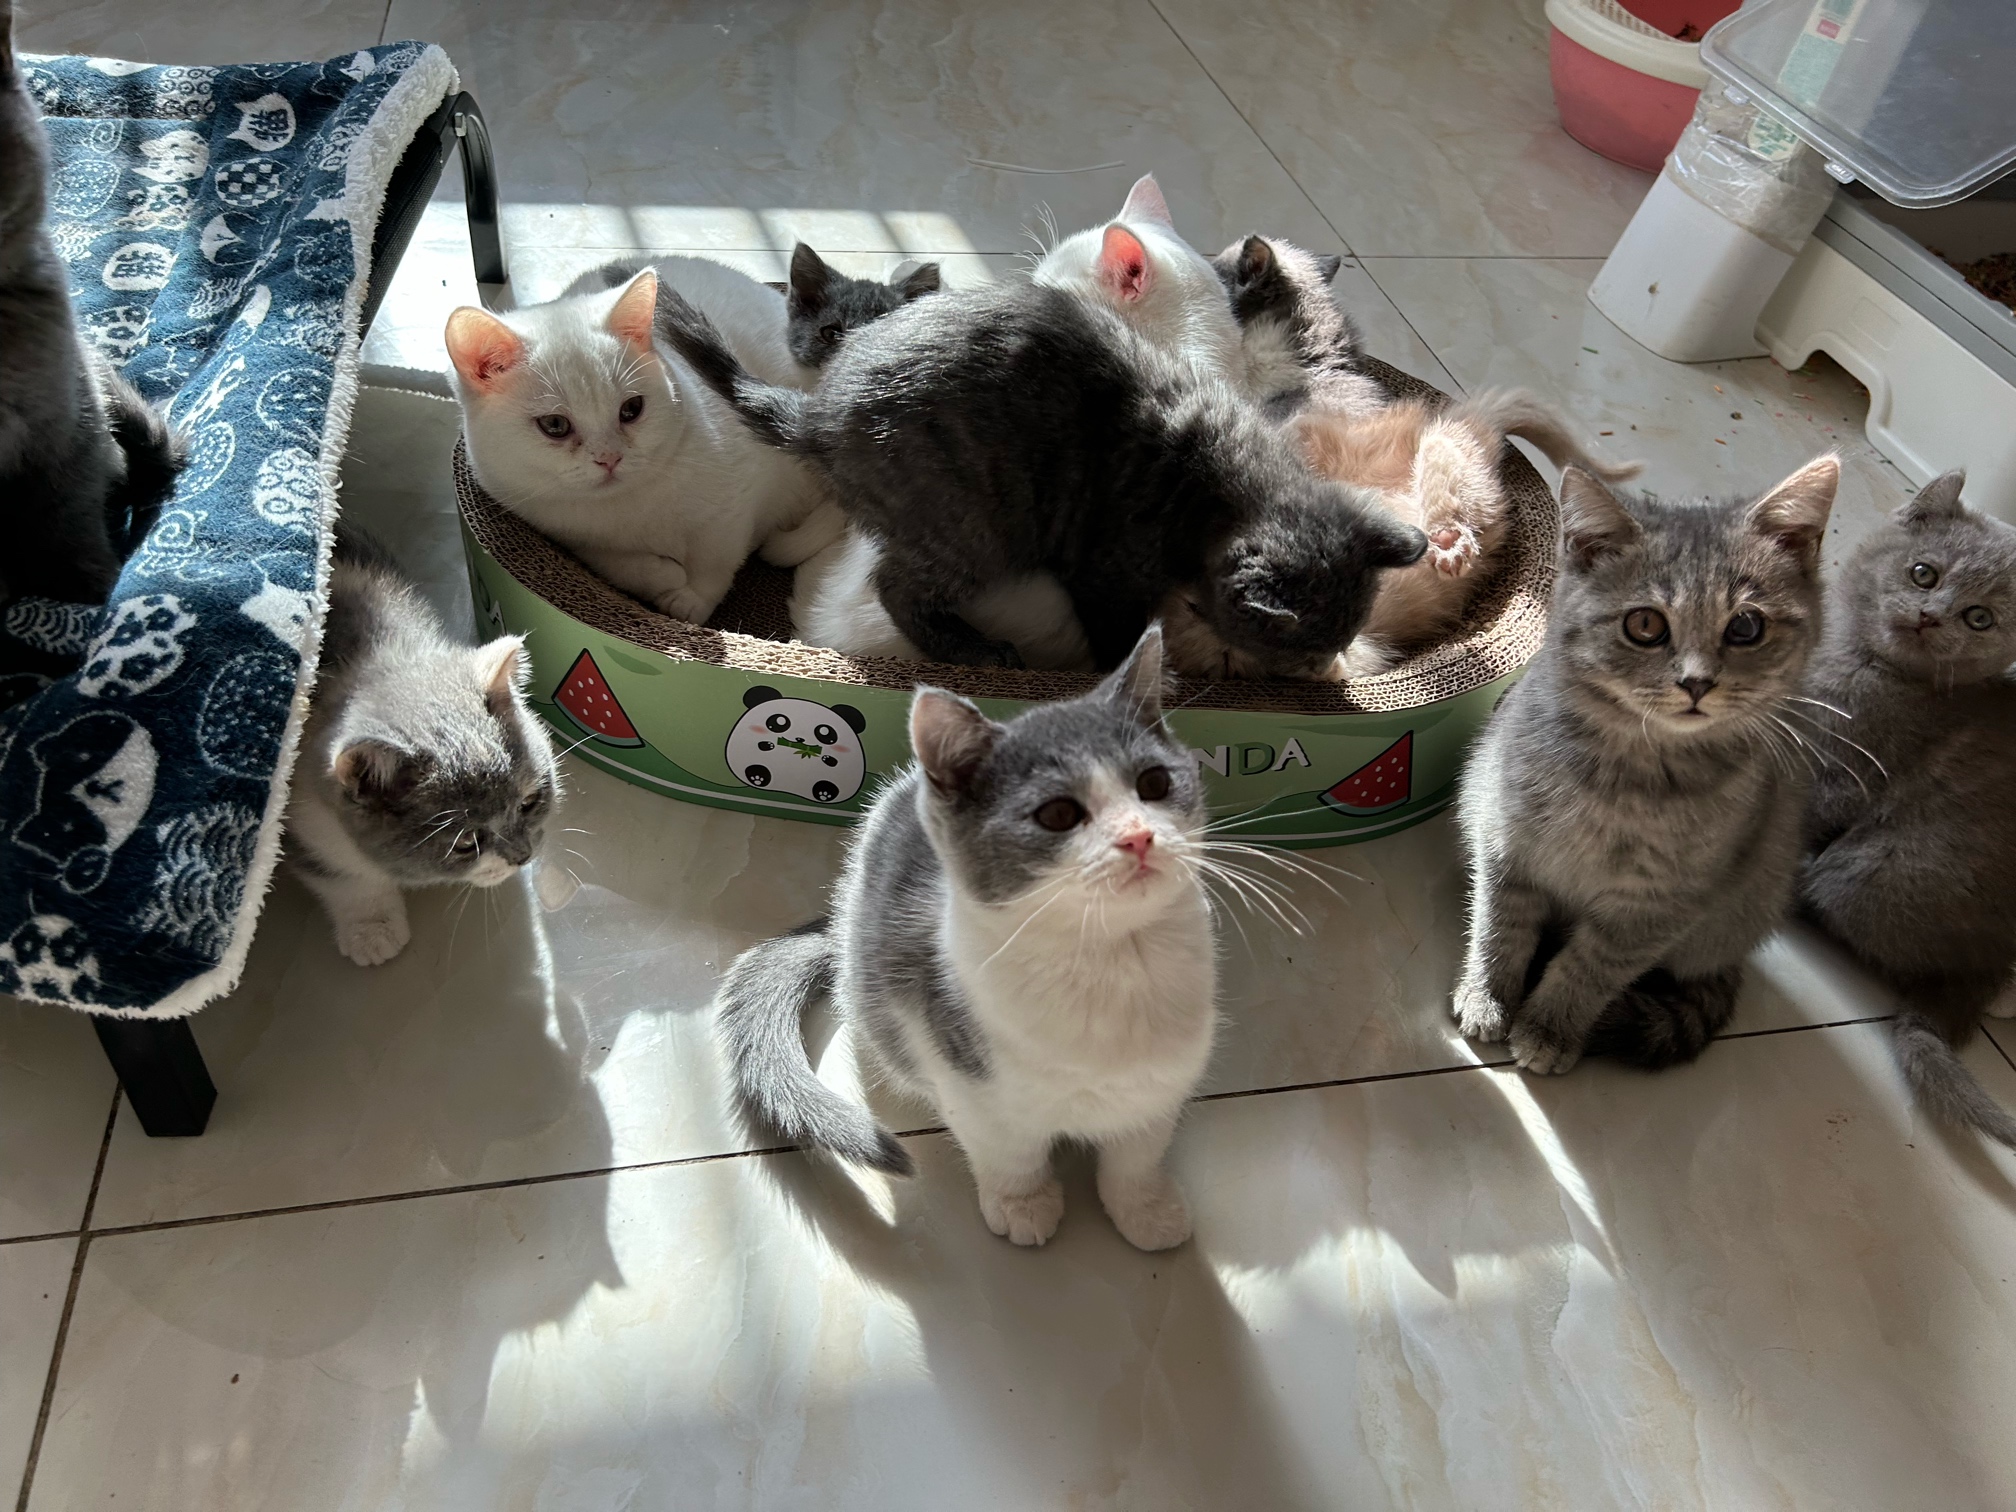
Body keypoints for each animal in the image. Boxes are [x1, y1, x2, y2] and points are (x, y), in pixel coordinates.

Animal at [285, 528, 560, 965]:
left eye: (529, 802)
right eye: (466, 842)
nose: (522, 856)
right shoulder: (302, 816)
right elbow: (344, 877)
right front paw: (372, 928)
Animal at [445, 256, 842, 626]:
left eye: (631, 409)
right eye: (555, 424)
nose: (609, 458)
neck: (629, 508)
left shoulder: (734, 503)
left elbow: (715, 558)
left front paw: (691, 600)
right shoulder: (569, 536)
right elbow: (620, 565)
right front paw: (664, 576)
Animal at [654, 274, 1425, 670]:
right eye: (1301, 653)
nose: (1323, 674)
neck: (1229, 488)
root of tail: (819, 414)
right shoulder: (1108, 572)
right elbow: (1119, 637)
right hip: (972, 527)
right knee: (896, 588)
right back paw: (968, 650)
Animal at [717, 626, 1217, 1250]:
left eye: (1155, 783)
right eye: (1058, 814)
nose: (1139, 836)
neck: (1110, 960)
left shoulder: (1161, 1084)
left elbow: (1138, 1150)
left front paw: (1144, 1208)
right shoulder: (960, 1068)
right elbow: (1007, 1149)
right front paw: (1022, 1202)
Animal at [1452, 456, 1838, 1074]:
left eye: (1746, 627)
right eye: (1646, 625)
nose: (1697, 682)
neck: (1625, 776)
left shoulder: (1658, 906)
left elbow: (1589, 967)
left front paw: (1549, 1026)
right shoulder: (1506, 840)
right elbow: (1499, 926)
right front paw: (1487, 996)